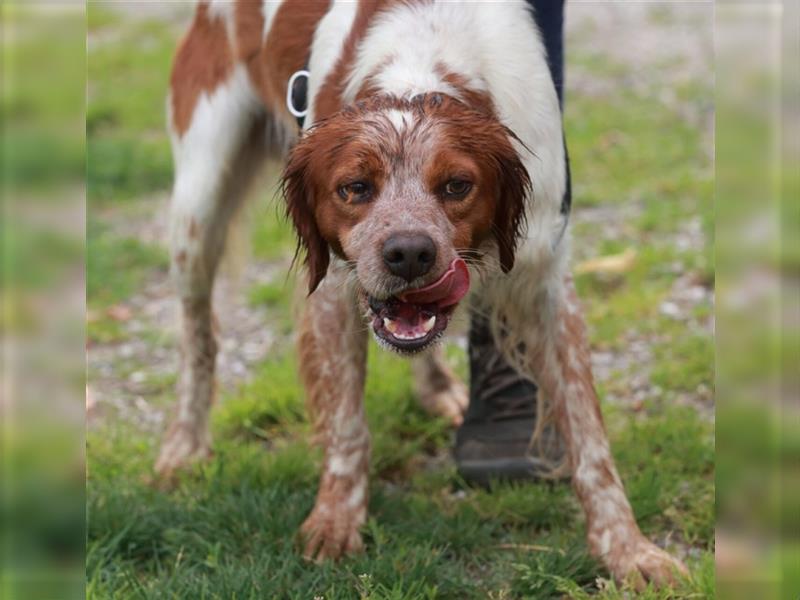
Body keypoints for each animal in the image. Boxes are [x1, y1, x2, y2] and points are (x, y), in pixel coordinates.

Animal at [156, 0, 688, 588]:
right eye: (354, 188)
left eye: (457, 185)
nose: (408, 253)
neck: (423, 61)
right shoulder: (335, 288)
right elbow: (346, 425)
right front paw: (335, 522)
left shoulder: (547, 277)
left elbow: (590, 438)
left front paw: (629, 550)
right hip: (197, 208)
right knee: (198, 335)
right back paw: (185, 443)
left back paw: (436, 387)